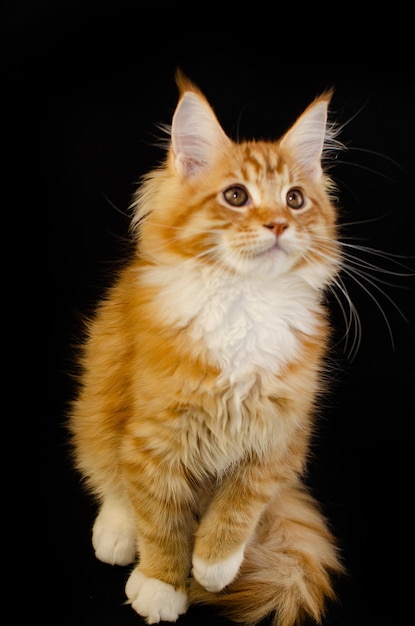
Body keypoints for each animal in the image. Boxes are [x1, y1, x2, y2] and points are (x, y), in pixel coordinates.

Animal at [70, 68, 346, 624]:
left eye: (295, 199)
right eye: (236, 196)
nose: (279, 224)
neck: (244, 300)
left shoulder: (277, 434)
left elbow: (241, 505)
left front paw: (214, 565)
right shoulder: (152, 438)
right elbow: (158, 517)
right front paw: (161, 582)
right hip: (94, 407)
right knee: (109, 479)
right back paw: (116, 533)